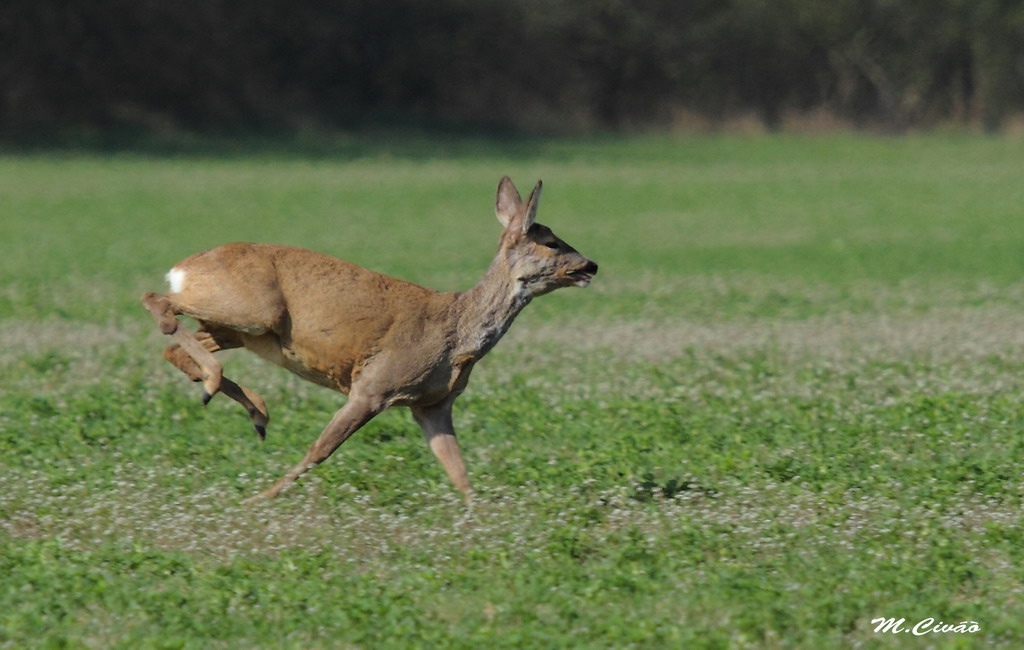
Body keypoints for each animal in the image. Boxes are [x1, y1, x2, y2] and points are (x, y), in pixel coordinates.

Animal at [140, 177, 598, 503]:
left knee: (173, 347)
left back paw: (254, 410)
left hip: (239, 329)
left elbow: (458, 469)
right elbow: (319, 450)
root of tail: (181, 268)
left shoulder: (432, 405)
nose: (591, 264)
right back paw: (228, 391)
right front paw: (259, 499)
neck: (457, 334)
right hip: (252, 312)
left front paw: (480, 517)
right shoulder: (373, 386)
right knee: (157, 303)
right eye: (551, 242)